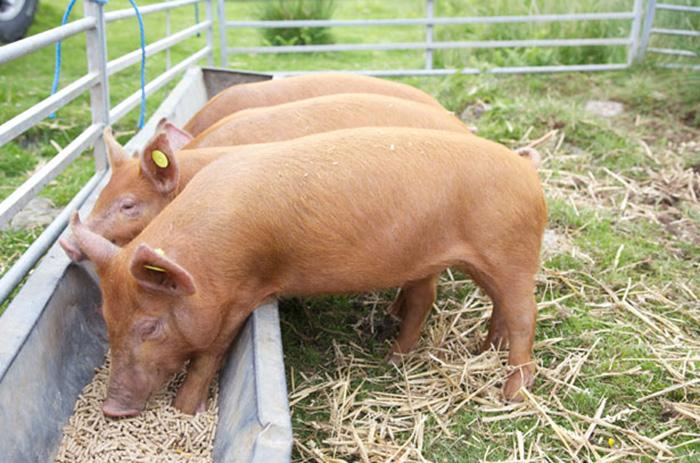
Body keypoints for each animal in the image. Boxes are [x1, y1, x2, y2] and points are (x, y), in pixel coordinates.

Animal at [68, 127, 548, 416]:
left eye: (150, 326)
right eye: (108, 321)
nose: (112, 410)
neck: (209, 263)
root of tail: (526, 167)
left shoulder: (242, 293)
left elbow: (209, 354)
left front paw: (185, 410)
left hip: (512, 253)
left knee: (525, 313)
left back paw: (512, 393)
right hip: (474, 260)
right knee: (482, 305)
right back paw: (458, 351)